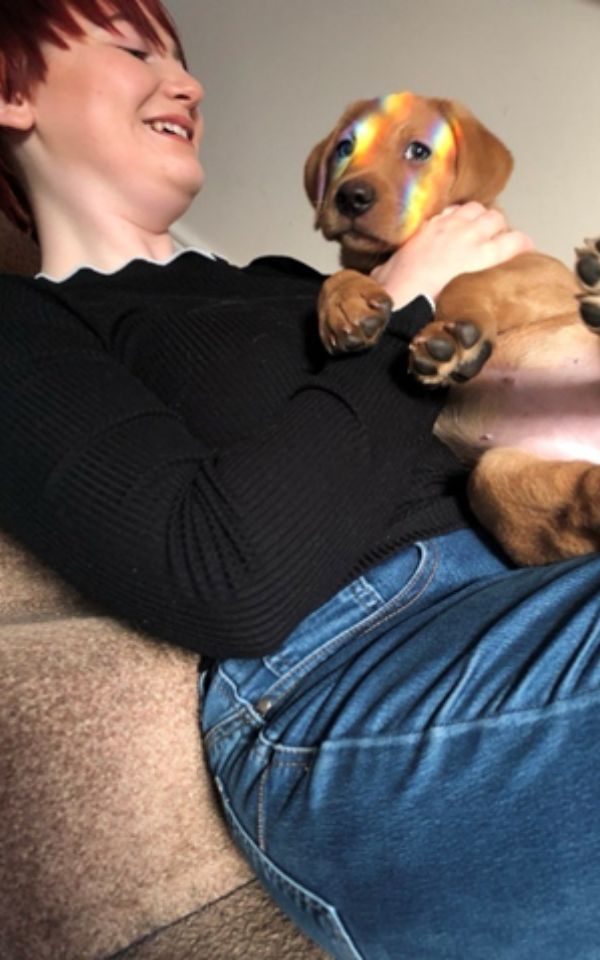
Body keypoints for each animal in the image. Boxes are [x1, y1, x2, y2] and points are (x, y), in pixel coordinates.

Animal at [308, 92, 600, 564]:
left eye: (419, 151)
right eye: (344, 148)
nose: (350, 196)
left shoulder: (544, 275)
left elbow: (464, 278)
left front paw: (450, 336)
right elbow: (335, 278)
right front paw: (345, 305)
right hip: (494, 471)